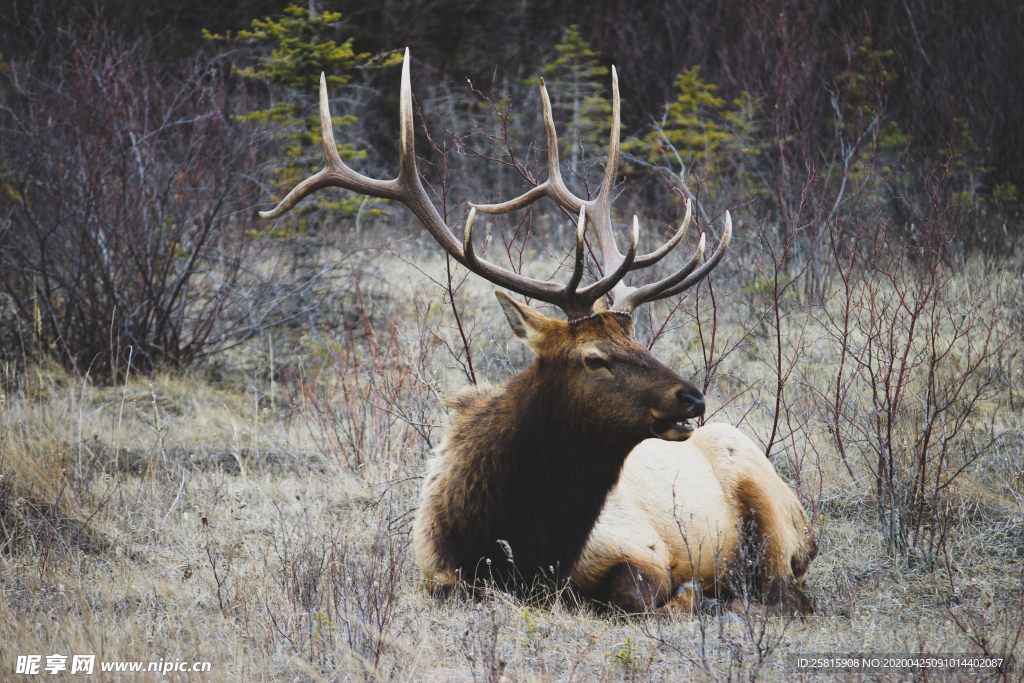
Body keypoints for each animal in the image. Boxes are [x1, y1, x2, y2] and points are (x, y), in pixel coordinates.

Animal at [262, 49, 815, 614]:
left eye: (637, 342)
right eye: (594, 357)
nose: (692, 398)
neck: (515, 542)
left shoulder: (643, 547)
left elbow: (641, 593)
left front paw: (693, 593)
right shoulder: (438, 573)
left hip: (770, 514)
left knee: (786, 592)